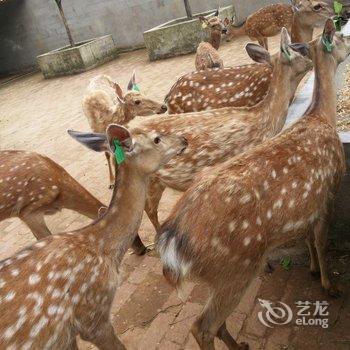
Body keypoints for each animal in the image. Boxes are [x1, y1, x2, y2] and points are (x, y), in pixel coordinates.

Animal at [159, 19, 350, 350]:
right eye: (339, 37)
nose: (349, 43)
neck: (320, 117)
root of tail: (172, 243)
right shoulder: (328, 192)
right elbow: (321, 241)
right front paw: (330, 285)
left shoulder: (309, 204)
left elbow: (309, 238)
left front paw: (313, 270)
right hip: (234, 267)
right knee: (202, 326)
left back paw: (241, 344)